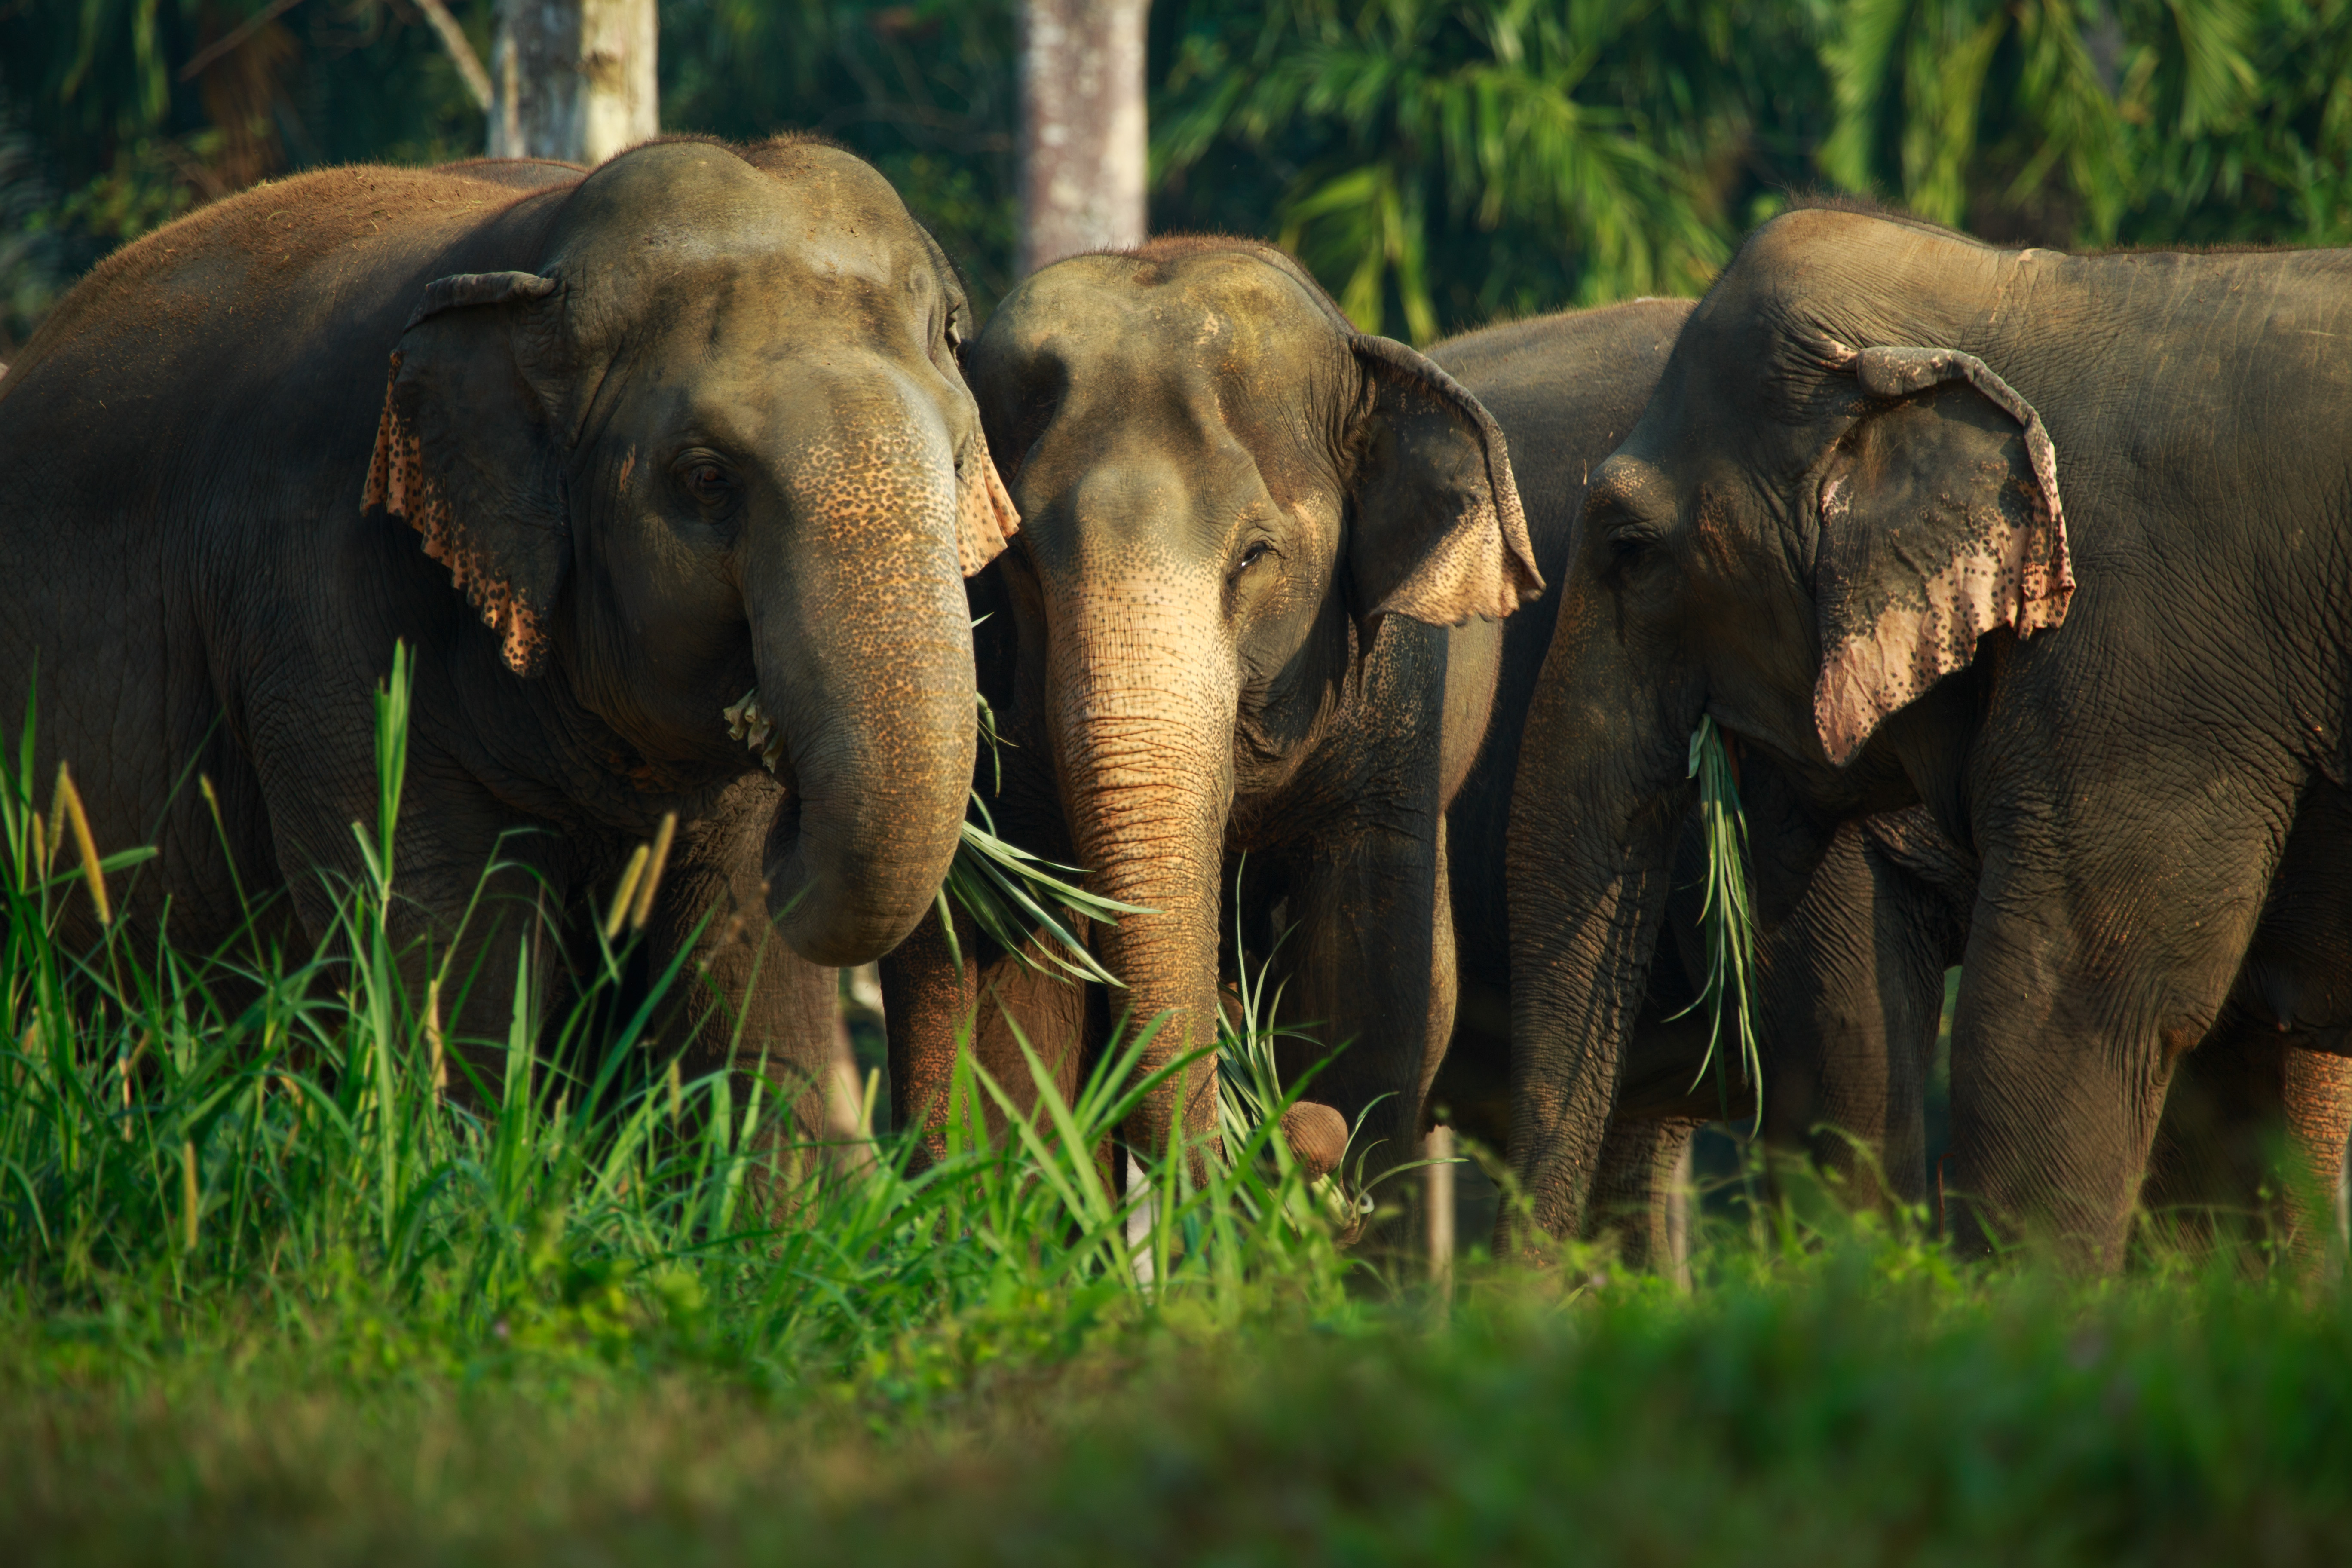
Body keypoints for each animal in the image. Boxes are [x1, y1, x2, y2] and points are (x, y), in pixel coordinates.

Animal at [0, 137, 1017, 1131]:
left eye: (958, 459)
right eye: (706, 481)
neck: (538, 248)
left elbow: (748, 1002)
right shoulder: (320, 604)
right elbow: (440, 947)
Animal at [880, 236, 1540, 1186]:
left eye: (1255, 555)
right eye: (1025, 565)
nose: (1296, 1133)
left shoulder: (1397, 708)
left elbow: (1367, 986)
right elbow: (1031, 996)